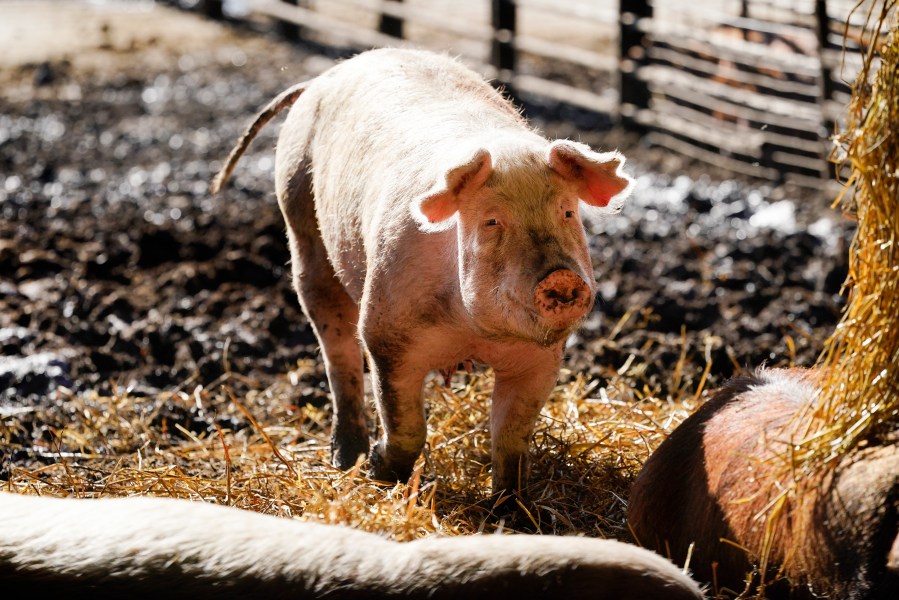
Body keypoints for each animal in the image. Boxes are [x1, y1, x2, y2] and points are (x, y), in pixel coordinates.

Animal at [211, 48, 632, 496]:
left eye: (567, 212)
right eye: (491, 221)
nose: (561, 276)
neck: (473, 332)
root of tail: (324, 77)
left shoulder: (540, 358)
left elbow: (511, 439)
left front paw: (510, 505)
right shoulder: (387, 333)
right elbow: (406, 423)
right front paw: (381, 473)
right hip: (300, 219)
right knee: (337, 349)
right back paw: (347, 459)